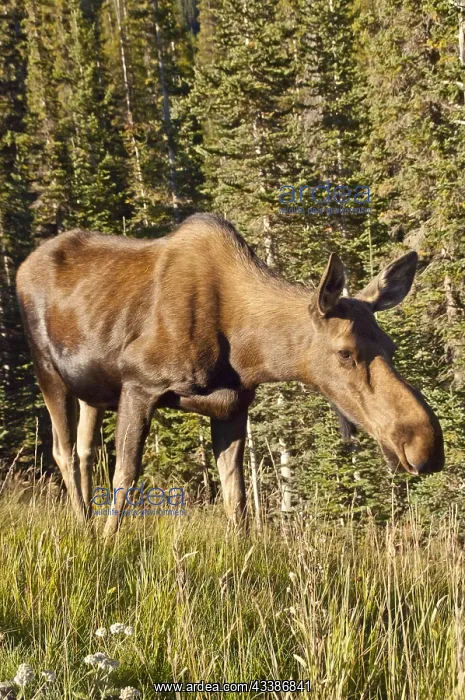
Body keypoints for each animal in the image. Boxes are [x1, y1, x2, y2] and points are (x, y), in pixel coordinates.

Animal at [16, 213, 444, 537]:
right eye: (345, 352)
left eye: (390, 346)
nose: (425, 445)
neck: (248, 350)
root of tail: (21, 266)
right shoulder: (140, 383)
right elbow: (126, 475)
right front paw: (109, 543)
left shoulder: (233, 406)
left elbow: (236, 496)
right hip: (46, 368)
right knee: (63, 451)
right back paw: (86, 528)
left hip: (93, 391)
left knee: (84, 450)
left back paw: (86, 520)